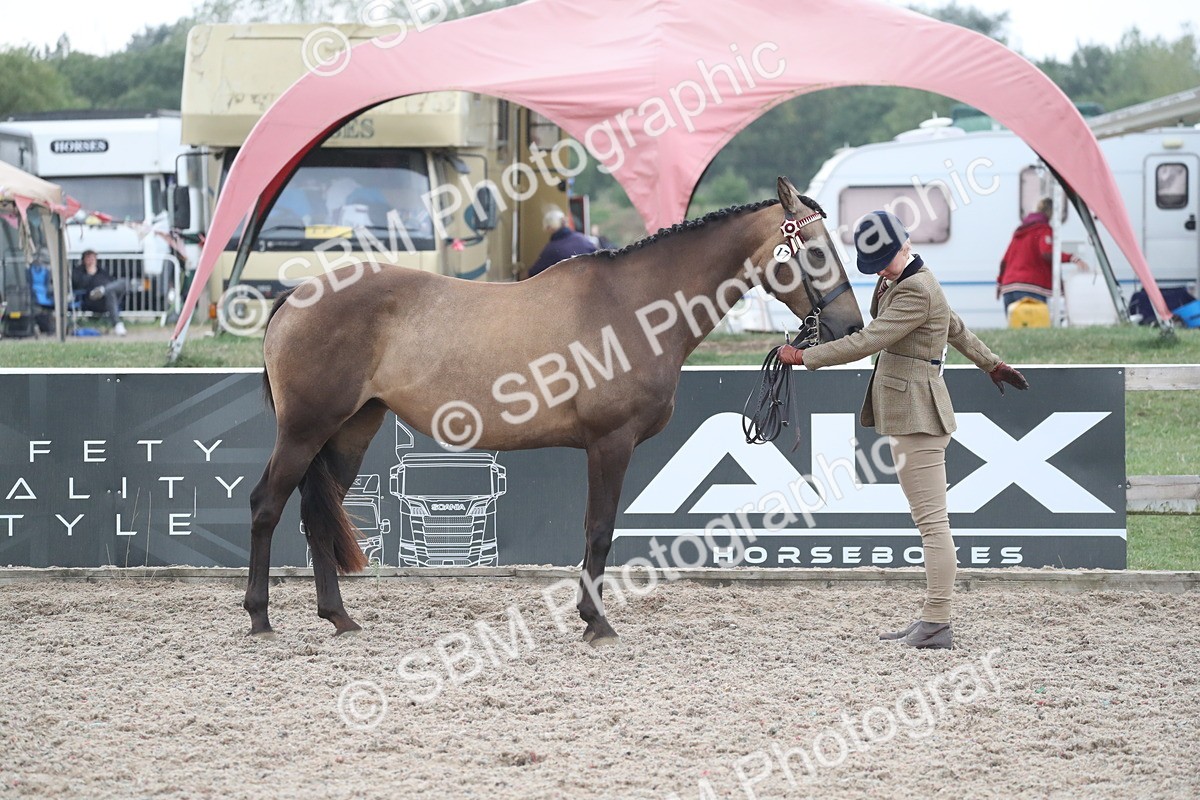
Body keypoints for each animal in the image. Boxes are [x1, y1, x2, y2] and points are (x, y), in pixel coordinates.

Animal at [246, 176, 864, 643]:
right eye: (814, 251)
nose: (849, 326)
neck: (634, 307)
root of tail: (296, 297)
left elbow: (592, 530)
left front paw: (589, 617)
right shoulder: (610, 443)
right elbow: (600, 530)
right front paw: (597, 624)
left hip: (351, 431)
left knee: (316, 516)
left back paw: (339, 617)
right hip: (304, 431)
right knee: (267, 506)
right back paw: (259, 617)